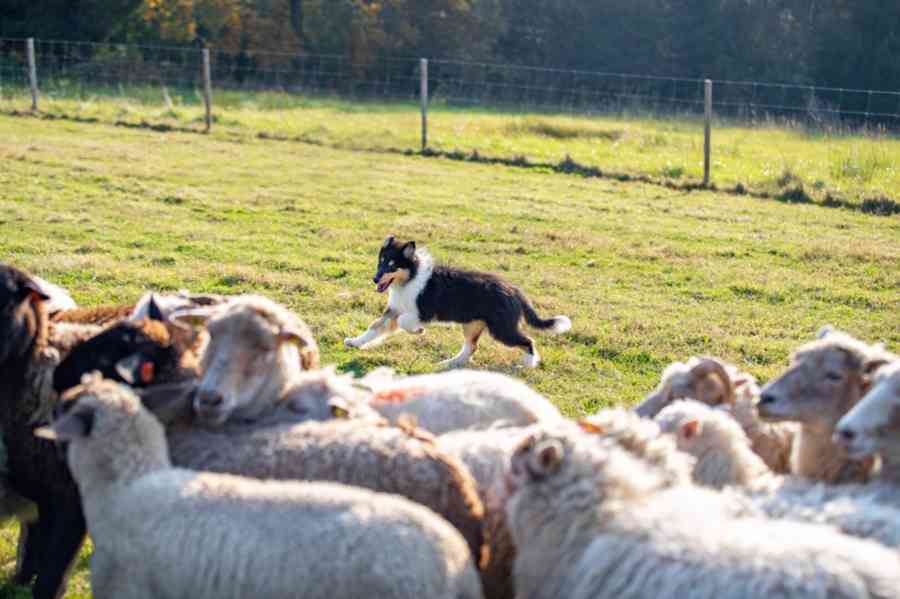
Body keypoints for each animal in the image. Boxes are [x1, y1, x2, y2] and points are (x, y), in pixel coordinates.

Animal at [344, 237, 568, 368]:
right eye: (381, 262)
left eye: (392, 265)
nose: (375, 279)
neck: (410, 277)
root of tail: (515, 290)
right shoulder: (394, 310)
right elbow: (375, 327)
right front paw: (354, 342)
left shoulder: (421, 311)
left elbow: (404, 322)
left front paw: (419, 331)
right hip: (473, 325)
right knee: (471, 348)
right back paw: (449, 363)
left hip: (501, 329)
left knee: (528, 341)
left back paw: (529, 363)